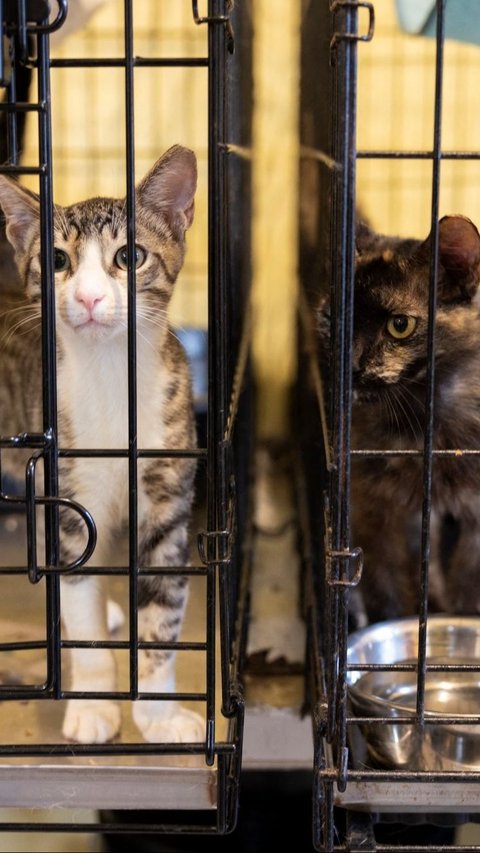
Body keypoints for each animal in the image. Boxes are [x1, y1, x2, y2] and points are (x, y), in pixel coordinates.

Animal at [0, 143, 204, 744]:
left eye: (129, 256)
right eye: (57, 261)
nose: (90, 297)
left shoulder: (168, 508)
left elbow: (162, 614)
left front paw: (158, 714)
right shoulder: (68, 504)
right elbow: (79, 604)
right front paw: (94, 702)